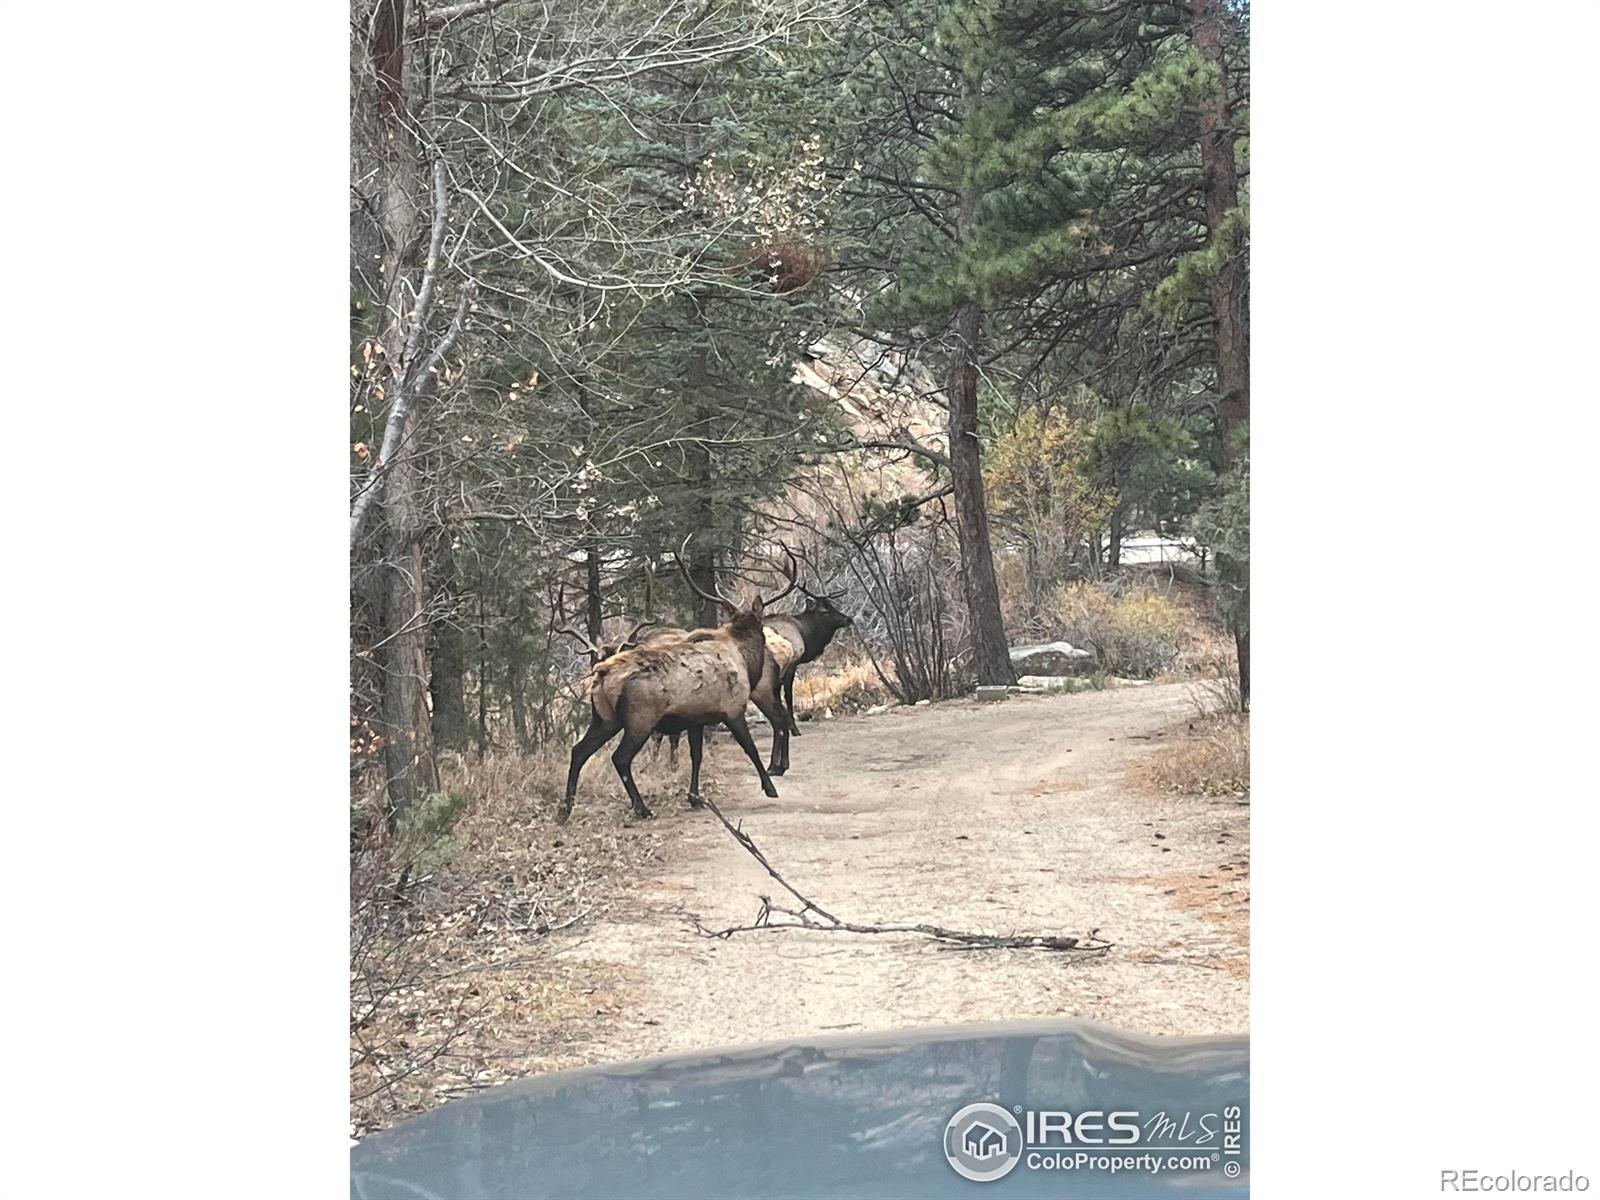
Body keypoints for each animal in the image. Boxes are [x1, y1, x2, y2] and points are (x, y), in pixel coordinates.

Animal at [560, 550, 796, 825]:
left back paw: (566, 809)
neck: (745, 658)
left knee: (578, 751)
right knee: (620, 758)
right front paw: (769, 788)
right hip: (639, 719)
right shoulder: (733, 709)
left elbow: (697, 756)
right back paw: (641, 808)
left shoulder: (696, 719)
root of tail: (601, 674)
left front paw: (694, 797)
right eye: (761, 628)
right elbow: (750, 750)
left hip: (605, 719)